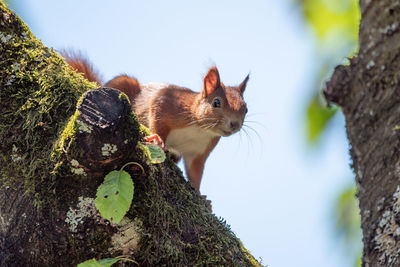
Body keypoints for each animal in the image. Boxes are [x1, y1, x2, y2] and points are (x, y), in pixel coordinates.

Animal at [63, 52, 248, 195]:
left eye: (245, 109)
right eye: (216, 102)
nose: (234, 124)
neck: (200, 129)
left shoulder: (198, 152)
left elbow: (195, 172)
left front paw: (202, 197)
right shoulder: (169, 103)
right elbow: (157, 116)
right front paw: (158, 140)